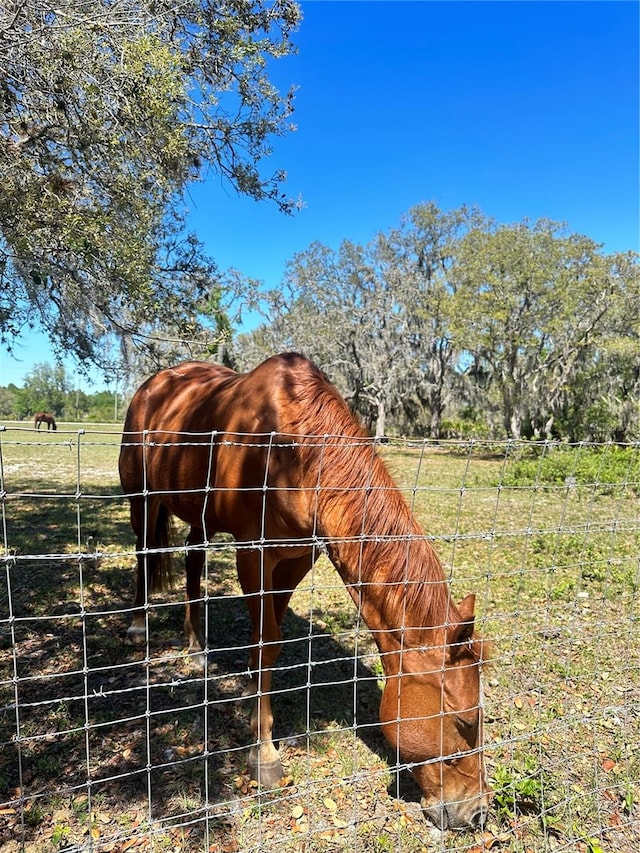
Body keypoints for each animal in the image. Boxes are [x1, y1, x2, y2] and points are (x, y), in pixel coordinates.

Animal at [119, 350, 490, 828]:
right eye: (463, 720)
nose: (476, 811)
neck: (293, 449)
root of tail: (155, 384)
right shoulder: (254, 555)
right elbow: (266, 640)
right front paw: (263, 755)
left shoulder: (297, 559)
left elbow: (272, 638)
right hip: (142, 500)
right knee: (143, 553)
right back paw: (137, 626)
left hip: (198, 517)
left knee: (192, 562)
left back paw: (196, 645)